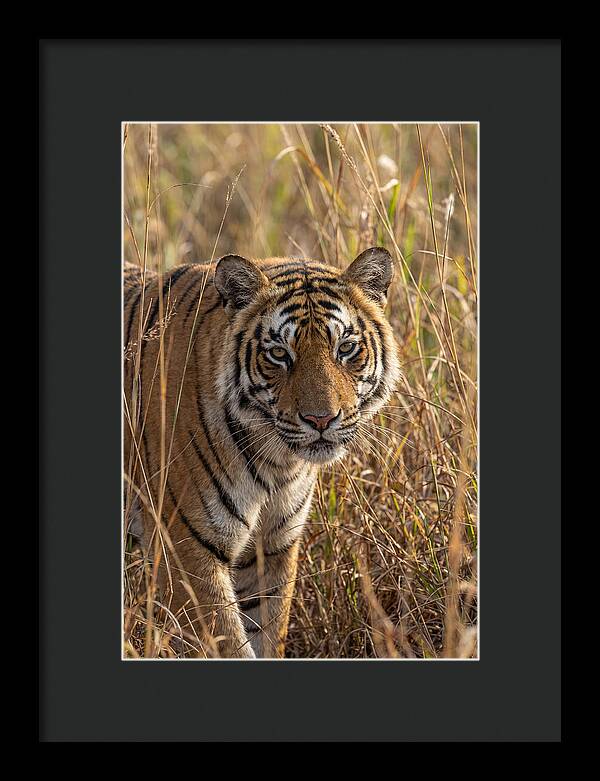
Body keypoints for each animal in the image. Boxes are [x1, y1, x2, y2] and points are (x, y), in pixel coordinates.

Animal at [123, 247, 401, 658]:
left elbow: (268, 633)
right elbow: (228, 644)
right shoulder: (186, 551)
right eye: (279, 354)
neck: (277, 463)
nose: (321, 419)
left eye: (346, 348)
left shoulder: (272, 547)